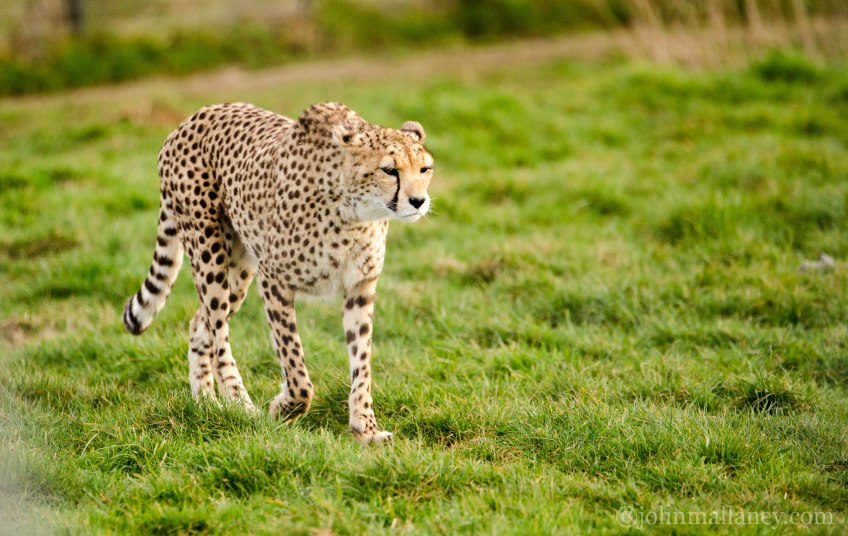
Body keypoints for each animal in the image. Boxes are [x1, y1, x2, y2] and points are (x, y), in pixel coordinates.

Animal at [122, 101, 433, 443]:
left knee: (199, 325)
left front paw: (365, 427)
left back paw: (205, 402)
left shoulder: (359, 288)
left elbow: (361, 362)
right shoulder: (274, 281)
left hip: (240, 266)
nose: (418, 201)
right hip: (208, 252)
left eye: (424, 169)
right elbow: (296, 367)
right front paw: (281, 408)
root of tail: (191, 118)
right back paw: (240, 405)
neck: (354, 212)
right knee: (218, 335)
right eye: (389, 170)